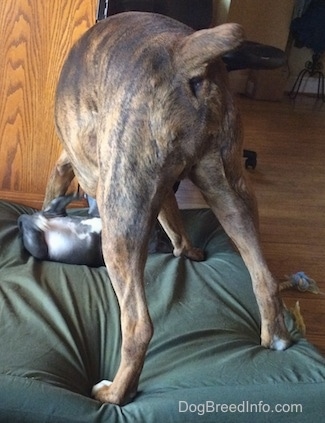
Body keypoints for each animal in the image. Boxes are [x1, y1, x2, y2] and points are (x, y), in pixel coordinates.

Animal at [43, 11, 292, 406]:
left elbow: (53, 187)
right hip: (230, 189)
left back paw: (115, 393)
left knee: (138, 325)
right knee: (264, 276)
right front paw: (187, 250)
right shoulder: (164, 189)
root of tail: (182, 53)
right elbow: (174, 219)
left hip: (122, 220)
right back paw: (277, 337)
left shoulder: (70, 164)